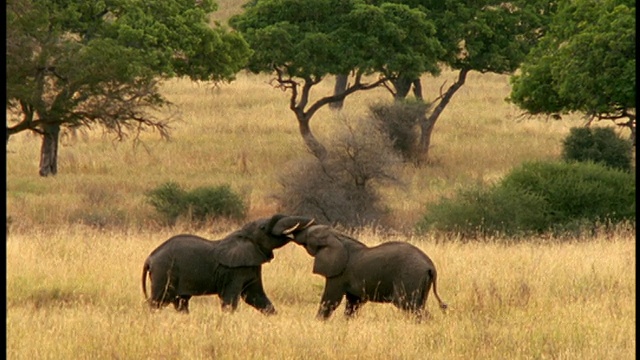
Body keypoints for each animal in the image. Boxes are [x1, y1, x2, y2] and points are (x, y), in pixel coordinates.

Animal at [144, 215, 316, 314]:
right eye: (263, 228)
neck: (243, 234)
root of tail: (150, 258)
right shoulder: (234, 271)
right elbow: (231, 299)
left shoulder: (252, 265)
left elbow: (256, 296)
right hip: (163, 272)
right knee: (159, 301)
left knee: (181, 302)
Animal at [292, 225, 448, 320]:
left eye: (309, 236)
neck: (338, 236)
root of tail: (431, 267)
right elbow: (353, 304)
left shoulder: (338, 274)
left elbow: (331, 300)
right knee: (418, 306)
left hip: (410, 278)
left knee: (410, 306)